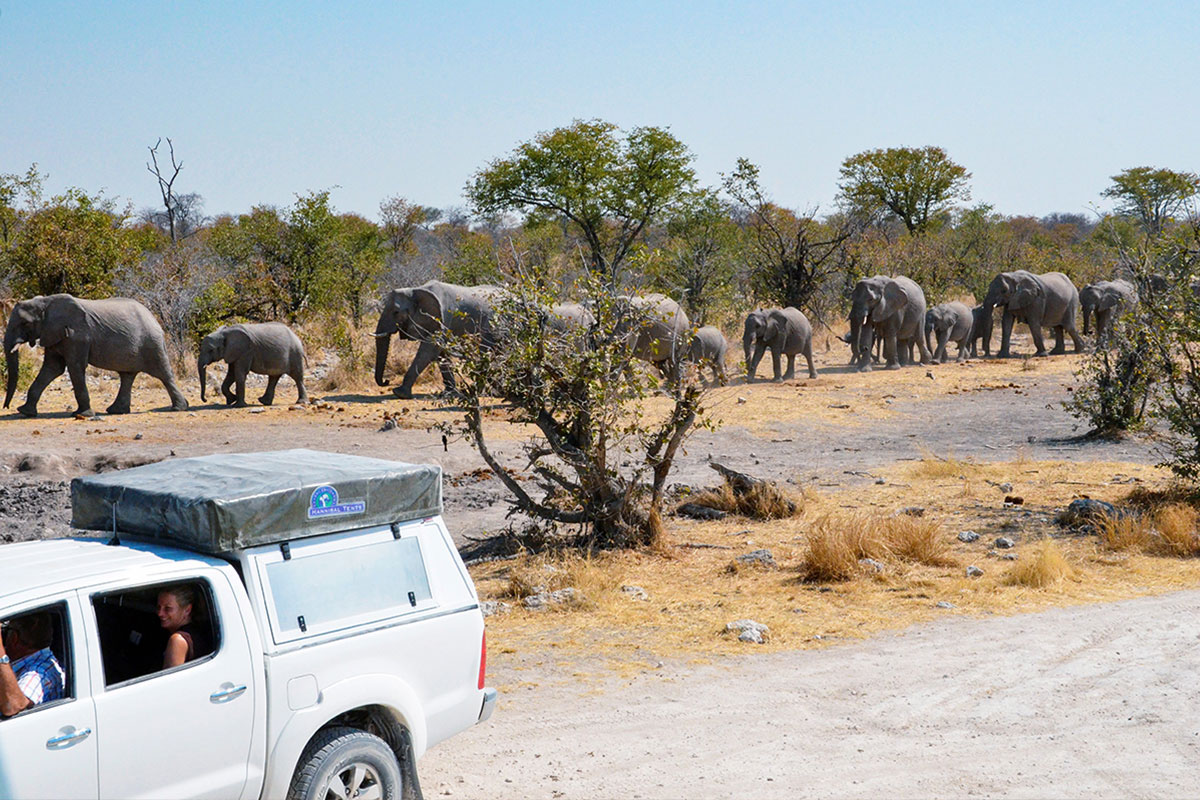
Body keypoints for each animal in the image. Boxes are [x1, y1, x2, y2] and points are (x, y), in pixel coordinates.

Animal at [2, 296, 187, 419]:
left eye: (25, 323)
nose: (6, 406)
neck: (46, 302)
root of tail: (154, 318)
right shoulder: (55, 335)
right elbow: (52, 368)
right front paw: (24, 411)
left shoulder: (78, 335)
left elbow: (75, 367)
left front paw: (82, 414)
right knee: (127, 376)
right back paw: (116, 411)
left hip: (152, 343)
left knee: (163, 374)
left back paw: (179, 408)